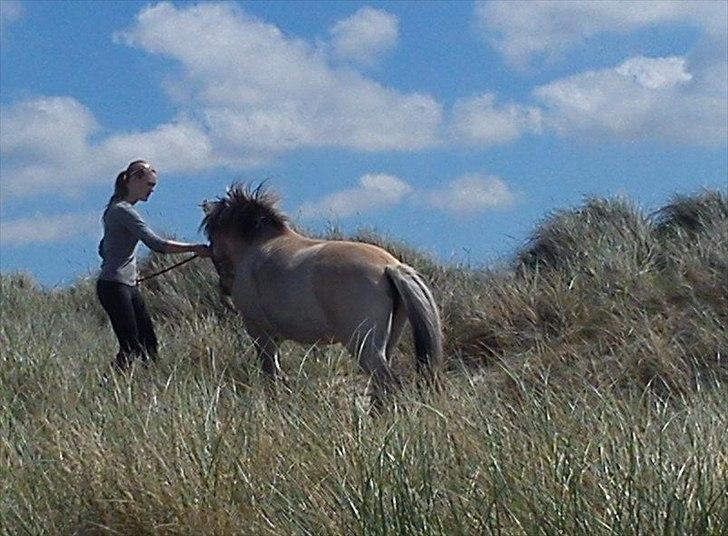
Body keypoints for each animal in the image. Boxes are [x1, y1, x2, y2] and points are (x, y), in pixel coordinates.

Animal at [198, 184, 444, 402]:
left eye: (212, 234)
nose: (225, 288)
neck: (256, 247)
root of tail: (389, 266)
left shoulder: (259, 331)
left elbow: (270, 375)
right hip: (387, 342)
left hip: (364, 346)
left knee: (388, 383)